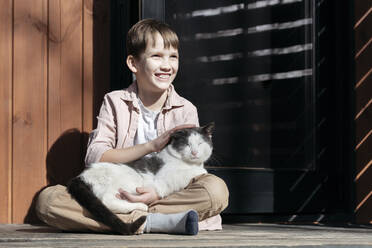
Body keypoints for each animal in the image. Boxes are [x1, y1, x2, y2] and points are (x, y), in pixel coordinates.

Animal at [66, 123, 214, 235]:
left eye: (200, 143)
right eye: (187, 144)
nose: (194, 152)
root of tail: (81, 176)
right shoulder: (165, 177)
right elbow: (191, 172)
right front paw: (203, 170)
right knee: (107, 201)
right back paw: (141, 206)